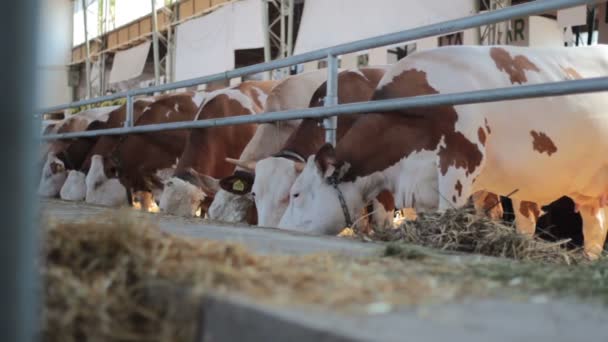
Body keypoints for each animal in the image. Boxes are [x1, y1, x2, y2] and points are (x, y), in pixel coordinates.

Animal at [280, 45, 608, 260]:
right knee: (595, 230)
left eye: (295, 193)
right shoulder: (421, 185)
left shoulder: (461, 162)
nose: (280, 227)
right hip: (591, 194)